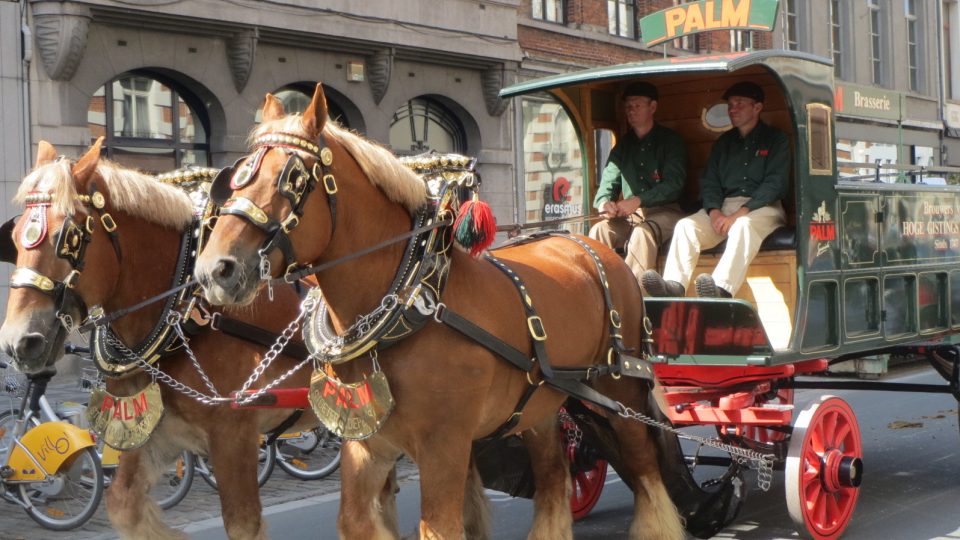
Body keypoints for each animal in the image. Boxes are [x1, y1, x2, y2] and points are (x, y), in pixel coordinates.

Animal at [0, 140, 328, 540]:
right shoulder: (153, 432)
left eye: (69, 238)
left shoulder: (234, 436)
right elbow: (123, 504)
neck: (184, 314)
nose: (18, 341)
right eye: (15, 237)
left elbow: (242, 522)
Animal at [193, 84, 684, 540]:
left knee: (646, 470)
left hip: (620, 392)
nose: (214, 269)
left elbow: (440, 526)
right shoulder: (366, 442)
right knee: (553, 475)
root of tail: (592, 245)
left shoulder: (444, 443)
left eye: (292, 178)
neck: (409, 305)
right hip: (544, 402)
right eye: (237, 178)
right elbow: (356, 520)